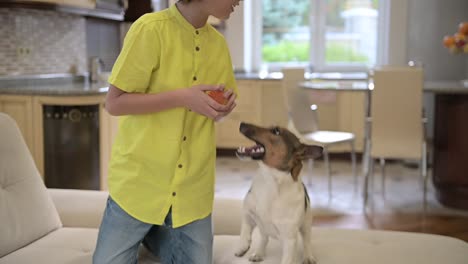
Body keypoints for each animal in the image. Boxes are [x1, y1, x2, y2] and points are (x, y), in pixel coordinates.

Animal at [233, 121, 322, 264]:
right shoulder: (247, 212)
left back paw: (308, 257)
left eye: (276, 131)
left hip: (306, 223)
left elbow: (288, 258)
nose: (242, 123)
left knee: (307, 241)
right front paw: (242, 246)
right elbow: (245, 229)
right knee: (264, 238)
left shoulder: (289, 239)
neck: (269, 180)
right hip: (263, 228)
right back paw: (258, 253)